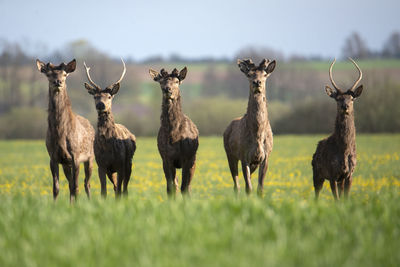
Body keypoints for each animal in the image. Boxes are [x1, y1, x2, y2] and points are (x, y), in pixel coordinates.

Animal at [35, 58, 95, 202]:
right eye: (48, 74)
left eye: (65, 74)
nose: (58, 82)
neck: (61, 135)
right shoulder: (53, 157)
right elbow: (56, 188)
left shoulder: (76, 156)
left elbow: (76, 187)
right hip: (66, 164)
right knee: (71, 184)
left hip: (91, 157)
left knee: (86, 183)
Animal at [83, 59, 137, 198]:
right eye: (95, 96)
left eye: (109, 96)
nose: (100, 105)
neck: (108, 146)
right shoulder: (101, 165)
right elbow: (104, 191)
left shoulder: (120, 164)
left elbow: (119, 191)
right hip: (110, 171)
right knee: (115, 186)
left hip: (129, 163)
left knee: (124, 188)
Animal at [148, 67, 198, 197]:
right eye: (161, 82)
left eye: (176, 81)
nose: (167, 89)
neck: (174, 135)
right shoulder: (166, 158)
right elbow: (171, 188)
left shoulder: (187, 158)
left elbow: (184, 187)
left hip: (193, 159)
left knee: (188, 186)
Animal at [223, 59, 276, 197]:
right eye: (249, 74)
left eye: (265, 74)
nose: (257, 82)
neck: (257, 135)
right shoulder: (244, 156)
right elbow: (249, 188)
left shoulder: (265, 156)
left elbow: (260, 188)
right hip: (230, 154)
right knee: (236, 185)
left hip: (253, 163)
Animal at [310, 58, 364, 201]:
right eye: (338, 99)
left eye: (352, 98)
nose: (345, 106)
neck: (344, 150)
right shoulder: (332, 173)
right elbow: (337, 200)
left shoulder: (349, 174)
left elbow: (345, 199)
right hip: (317, 173)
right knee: (316, 193)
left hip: (339, 179)